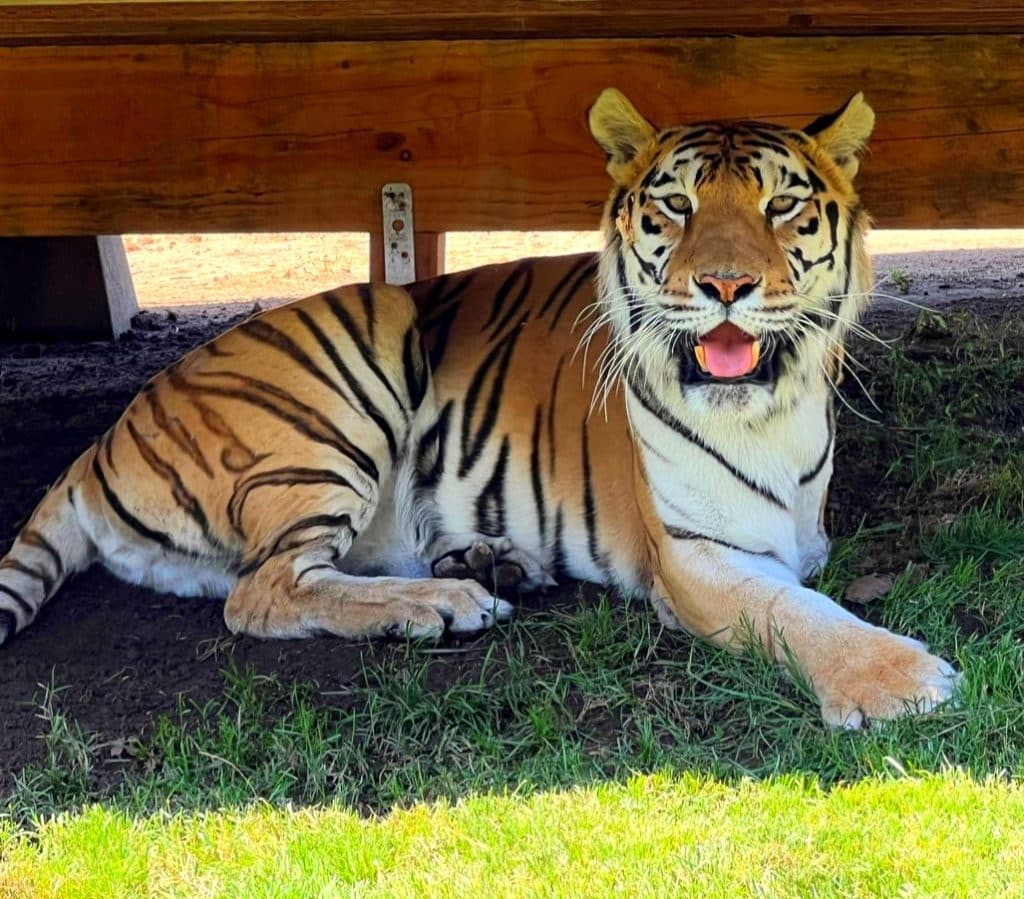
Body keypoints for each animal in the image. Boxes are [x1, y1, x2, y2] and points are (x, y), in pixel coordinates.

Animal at [0, 88, 958, 728]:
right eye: (677, 206)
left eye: (782, 205)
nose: (724, 285)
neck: (768, 409)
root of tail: (100, 440)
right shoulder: (698, 556)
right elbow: (800, 615)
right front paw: (902, 681)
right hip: (354, 368)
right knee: (264, 589)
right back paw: (444, 603)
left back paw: (492, 565)